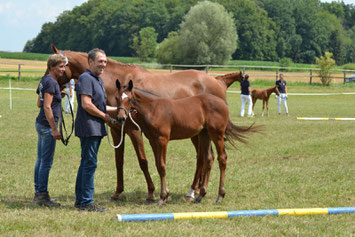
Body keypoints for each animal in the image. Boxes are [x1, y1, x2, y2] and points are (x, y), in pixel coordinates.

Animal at [50, 44, 254, 202]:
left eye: (58, 65)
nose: (47, 85)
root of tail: (219, 81)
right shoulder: (117, 130)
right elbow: (119, 161)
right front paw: (117, 192)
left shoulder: (134, 131)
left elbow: (143, 161)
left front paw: (151, 192)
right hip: (200, 133)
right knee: (206, 157)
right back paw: (196, 191)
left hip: (206, 133)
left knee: (206, 158)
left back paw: (194, 192)